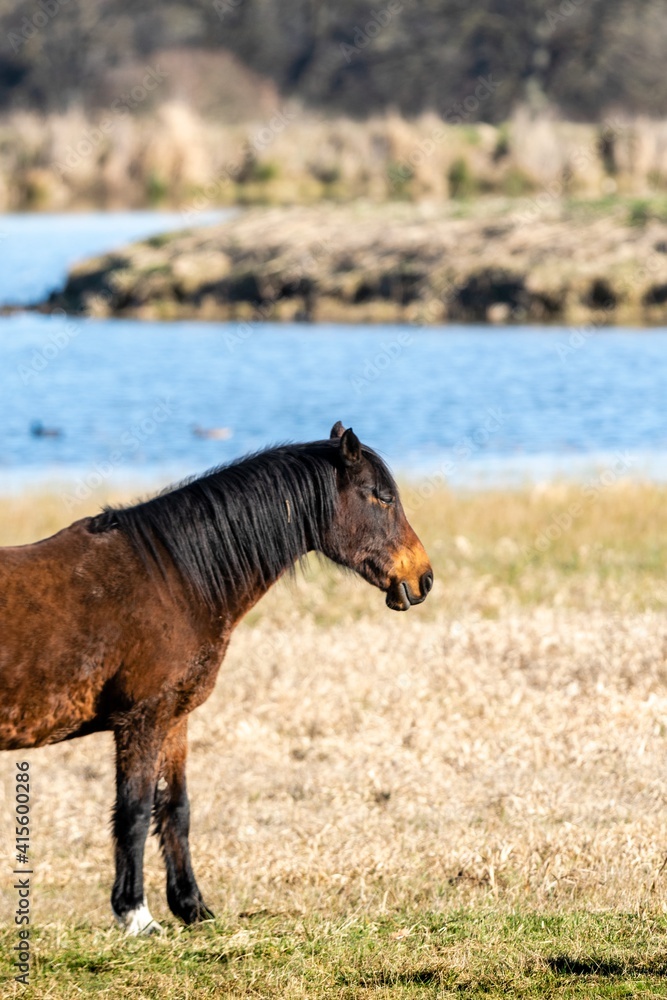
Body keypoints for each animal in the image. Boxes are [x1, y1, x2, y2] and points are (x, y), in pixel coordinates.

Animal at [0, 422, 433, 935]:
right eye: (380, 497)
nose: (423, 578)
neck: (172, 580)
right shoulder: (141, 721)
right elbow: (134, 810)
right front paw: (136, 914)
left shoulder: (174, 718)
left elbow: (175, 809)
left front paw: (192, 907)